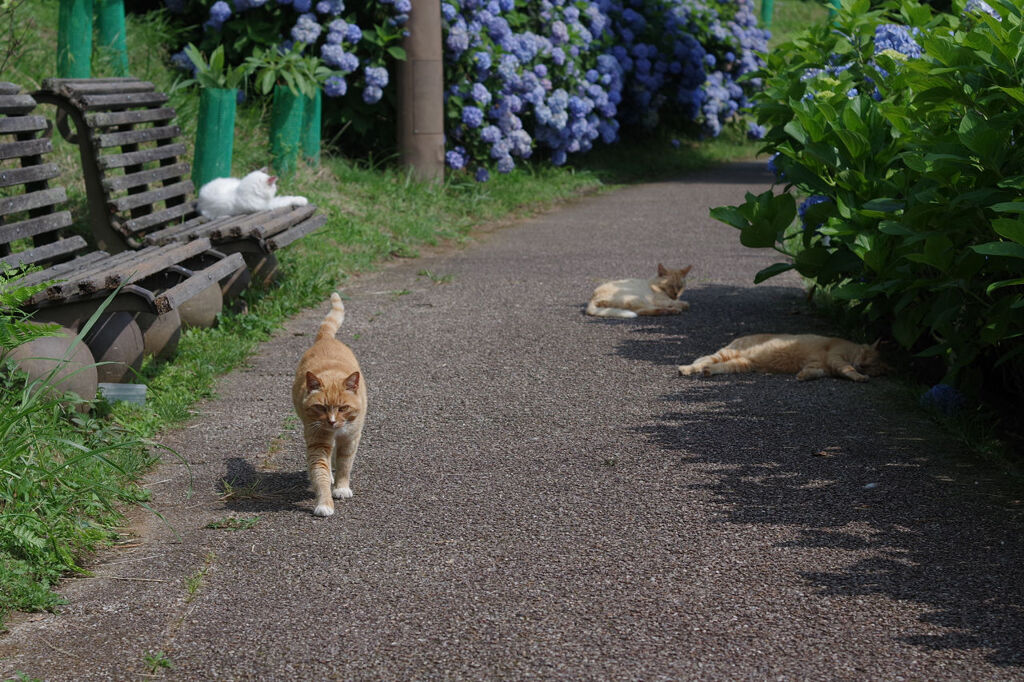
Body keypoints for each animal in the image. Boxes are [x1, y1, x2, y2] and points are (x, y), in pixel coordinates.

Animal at [292, 290, 368, 516]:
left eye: (343, 408)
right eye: (321, 407)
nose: (332, 422)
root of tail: (326, 338)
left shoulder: (350, 438)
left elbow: (344, 464)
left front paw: (341, 488)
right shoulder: (317, 441)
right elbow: (321, 474)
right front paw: (325, 503)